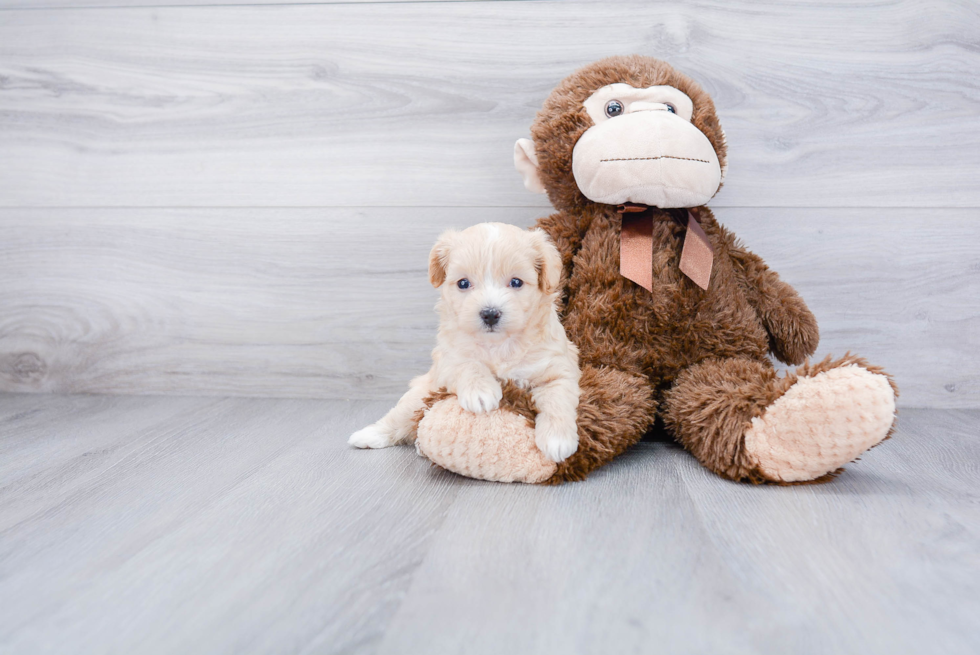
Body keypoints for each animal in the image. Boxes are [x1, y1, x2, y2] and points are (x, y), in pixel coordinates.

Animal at [350, 223, 580, 464]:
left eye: (516, 282)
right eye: (463, 283)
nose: (490, 314)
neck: (499, 345)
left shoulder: (558, 369)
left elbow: (557, 400)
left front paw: (557, 440)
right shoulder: (448, 358)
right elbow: (468, 364)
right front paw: (481, 392)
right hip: (420, 394)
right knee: (399, 417)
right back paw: (369, 435)